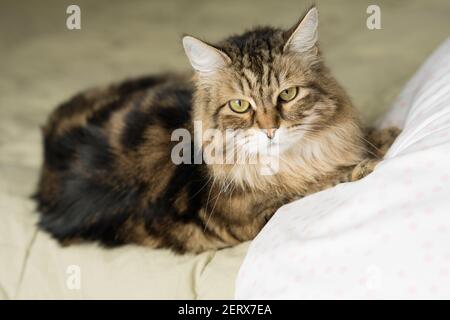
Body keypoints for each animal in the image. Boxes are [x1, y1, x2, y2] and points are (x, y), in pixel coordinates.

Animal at [33, 6, 400, 254]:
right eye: (239, 105)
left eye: (287, 95)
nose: (270, 130)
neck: (295, 160)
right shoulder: (261, 213)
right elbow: (321, 183)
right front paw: (367, 163)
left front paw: (385, 135)